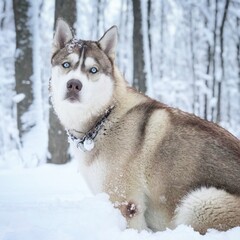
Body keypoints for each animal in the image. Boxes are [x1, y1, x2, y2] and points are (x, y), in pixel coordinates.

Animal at [50, 19, 240, 234]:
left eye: (93, 70)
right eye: (66, 65)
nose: (74, 84)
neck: (105, 118)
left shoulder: (126, 204)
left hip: (199, 204)